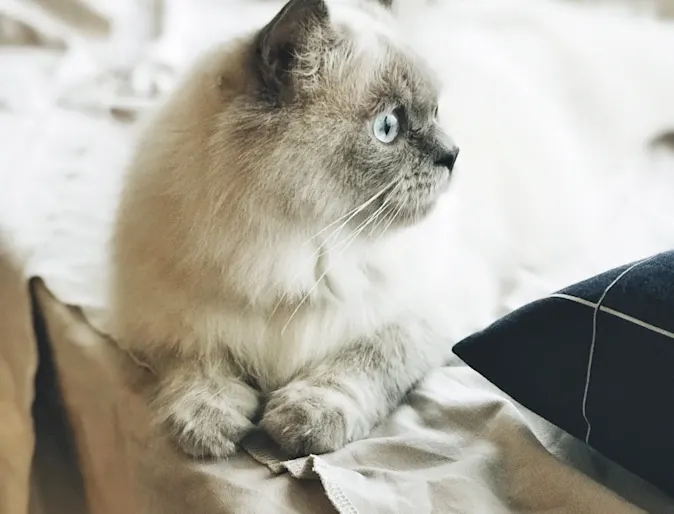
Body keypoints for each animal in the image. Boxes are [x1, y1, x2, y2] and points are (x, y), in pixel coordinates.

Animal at [107, 0, 460, 458]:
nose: (454, 154)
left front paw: (304, 421)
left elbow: (363, 361)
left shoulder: (420, 317)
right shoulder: (168, 324)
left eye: (436, 113)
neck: (291, 253)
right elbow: (199, 363)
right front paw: (207, 423)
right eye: (387, 127)